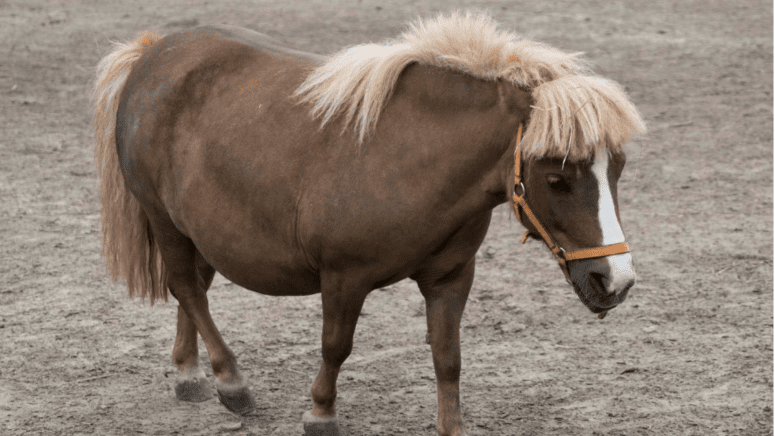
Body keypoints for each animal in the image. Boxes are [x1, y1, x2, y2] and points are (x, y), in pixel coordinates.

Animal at [94, 11, 644, 436]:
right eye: (556, 178)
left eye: (618, 166)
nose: (614, 282)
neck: (411, 158)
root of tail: (153, 53)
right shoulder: (344, 278)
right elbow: (336, 347)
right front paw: (320, 414)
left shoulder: (451, 278)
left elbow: (448, 357)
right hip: (163, 219)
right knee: (187, 287)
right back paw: (231, 383)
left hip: (199, 230)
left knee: (196, 290)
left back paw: (189, 374)